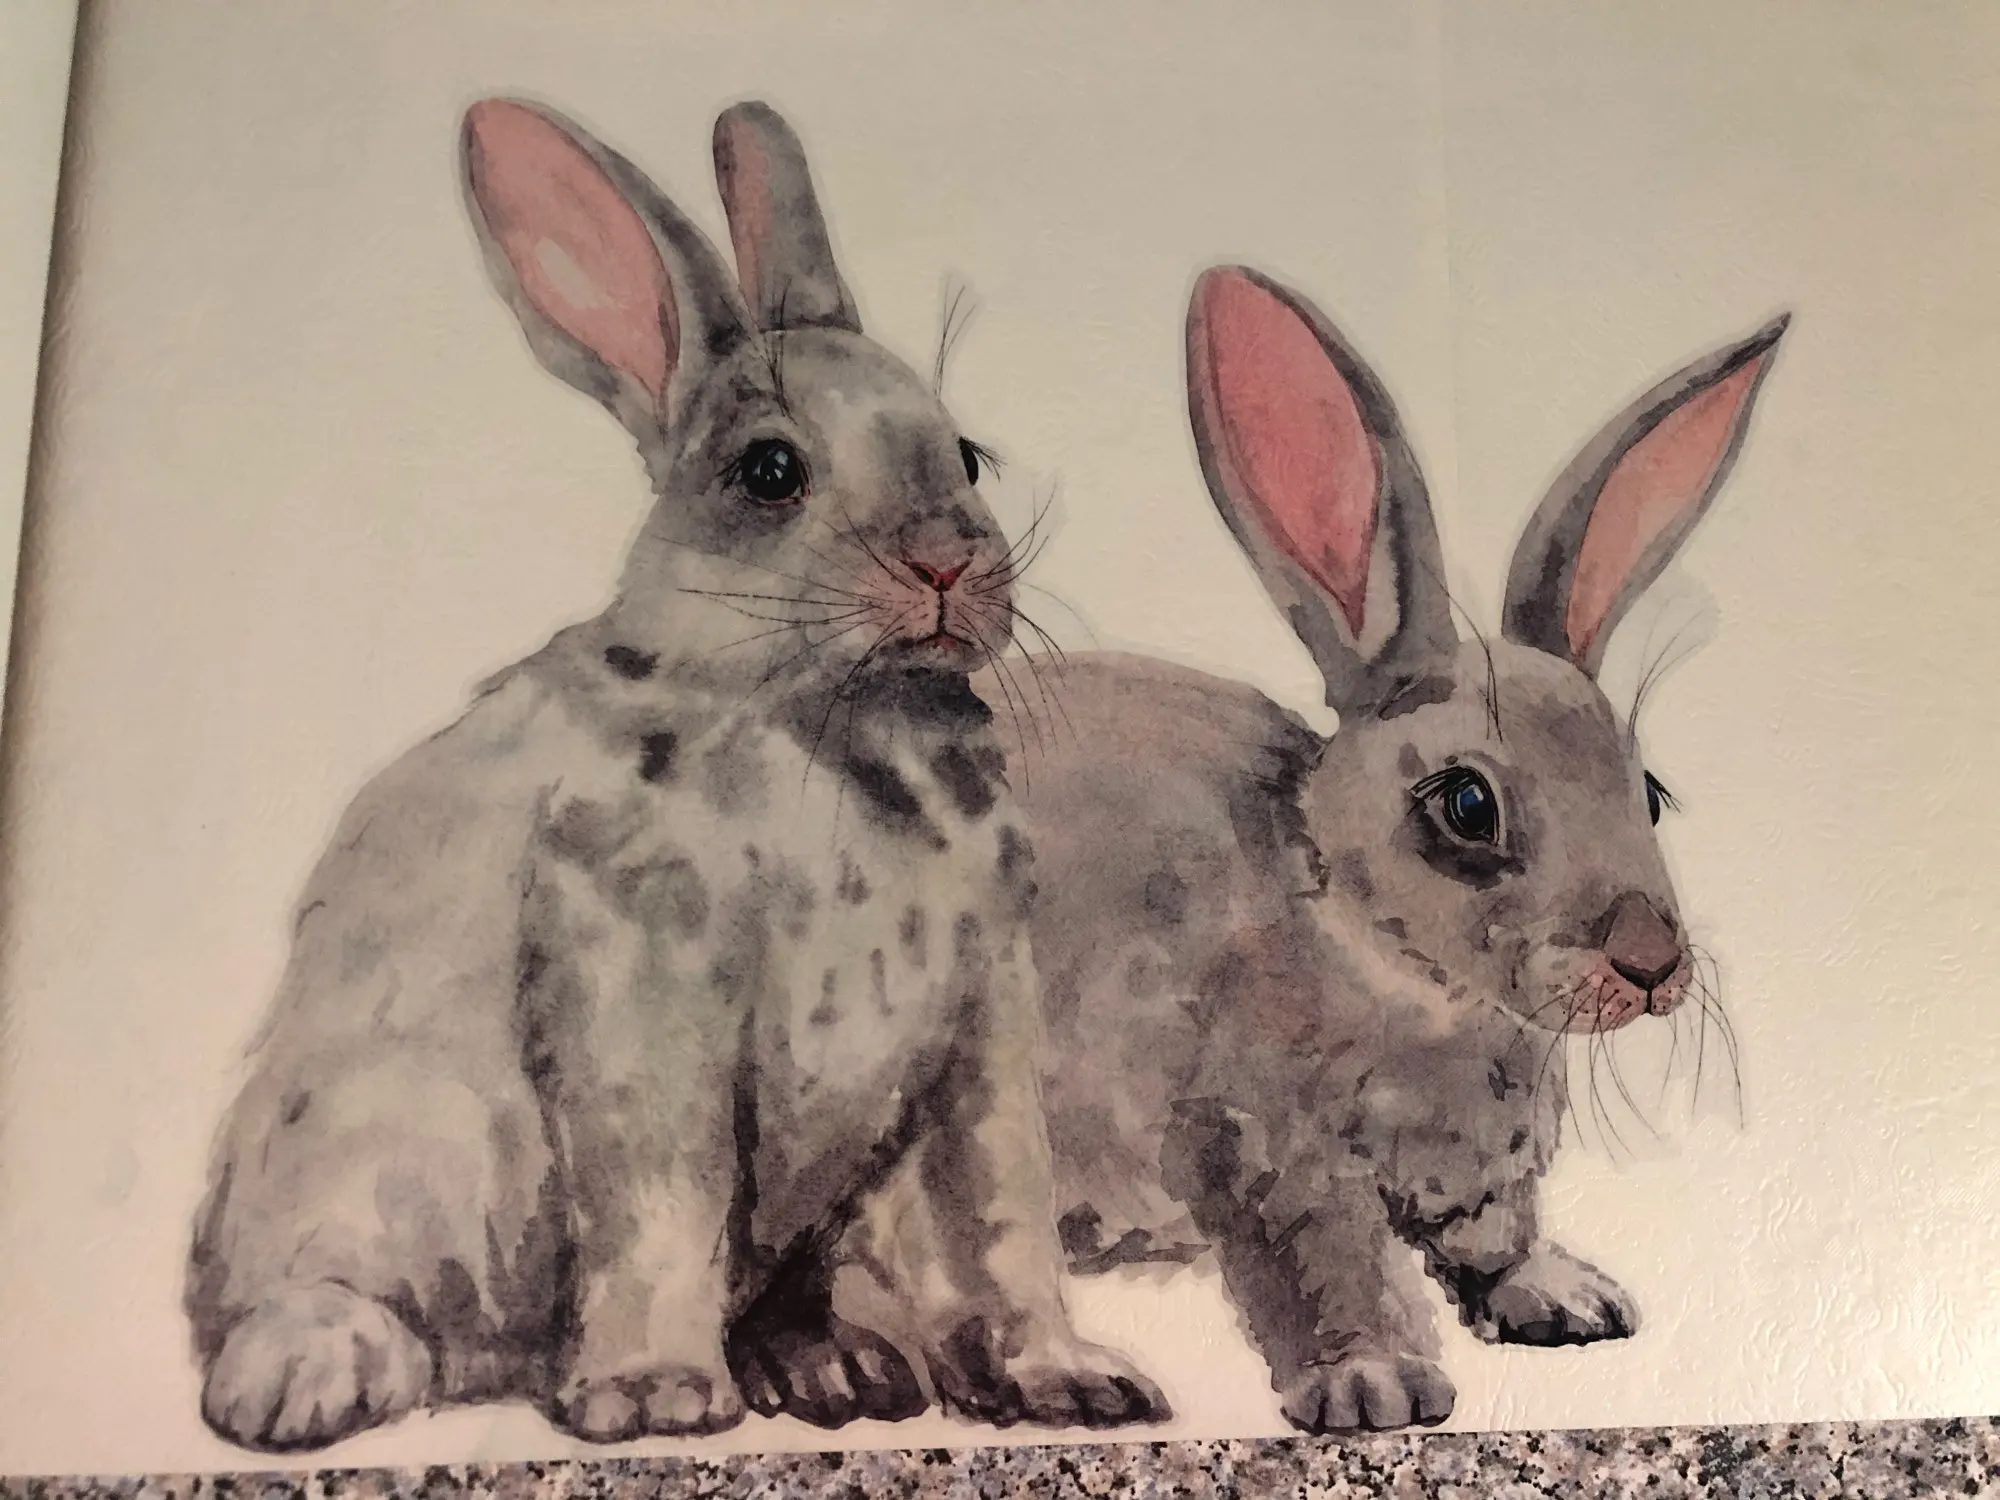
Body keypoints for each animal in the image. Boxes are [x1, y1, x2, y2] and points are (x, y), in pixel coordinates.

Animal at [184, 96, 1166, 1454]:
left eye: (964, 456)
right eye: (768, 471)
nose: (946, 563)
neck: (829, 719)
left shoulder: (977, 1025)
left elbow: (1004, 1217)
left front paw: (1066, 1383)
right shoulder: (643, 991)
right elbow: (663, 1201)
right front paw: (652, 1395)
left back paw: (835, 1364)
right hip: (377, 1158)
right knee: (342, 1293)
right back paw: (305, 1380)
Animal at [974, 265, 1786, 1433]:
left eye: (1647, 792)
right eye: (1465, 805)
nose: (1649, 960)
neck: (1392, 965)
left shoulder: (1486, 1178)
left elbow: (1494, 1240)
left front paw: (1568, 1300)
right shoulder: (1262, 1152)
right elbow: (1332, 1268)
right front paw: (1376, 1387)